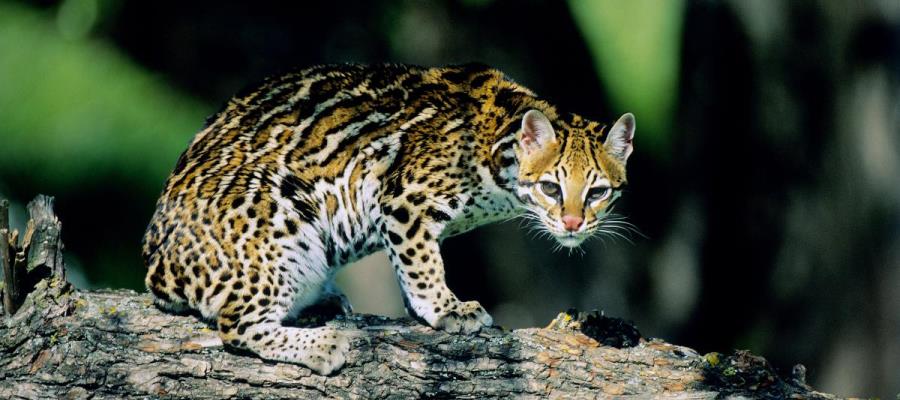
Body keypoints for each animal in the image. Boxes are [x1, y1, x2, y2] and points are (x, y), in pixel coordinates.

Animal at [141, 63, 636, 376]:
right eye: (551, 188)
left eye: (597, 192)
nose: (572, 225)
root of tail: (156, 265)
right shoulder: (403, 198)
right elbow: (422, 264)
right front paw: (446, 309)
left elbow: (414, 263)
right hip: (276, 212)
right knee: (236, 325)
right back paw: (323, 343)